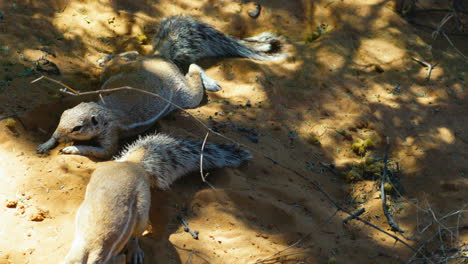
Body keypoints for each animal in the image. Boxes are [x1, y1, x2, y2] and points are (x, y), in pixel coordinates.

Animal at [35, 51, 220, 159]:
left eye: (77, 128)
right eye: (62, 115)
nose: (58, 135)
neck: (103, 110)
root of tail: (161, 60)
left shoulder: (111, 131)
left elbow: (106, 151)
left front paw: (72, 149)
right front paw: (46, 143)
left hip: (184, 96)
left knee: (194, 72)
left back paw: (211, 82)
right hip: (117, 69)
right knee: (129, 54)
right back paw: (106, 58)